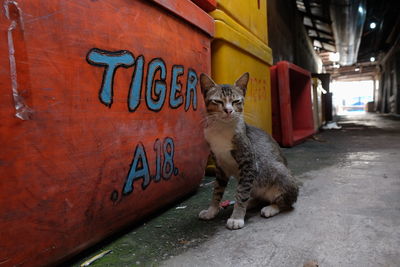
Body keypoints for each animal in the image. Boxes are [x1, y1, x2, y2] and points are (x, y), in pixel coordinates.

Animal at [198, 73, 298, 230]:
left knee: (287, 202)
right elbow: (217, 190)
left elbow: (241, 192)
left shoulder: (249, 163)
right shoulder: (219, 166)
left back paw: (271, 207)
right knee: (258, 196)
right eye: (218, 101)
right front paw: (211, 210)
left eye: (236, 101)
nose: (228, 110)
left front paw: (237, 217)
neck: (221, 129)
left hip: (279, 171)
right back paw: (252, 203)